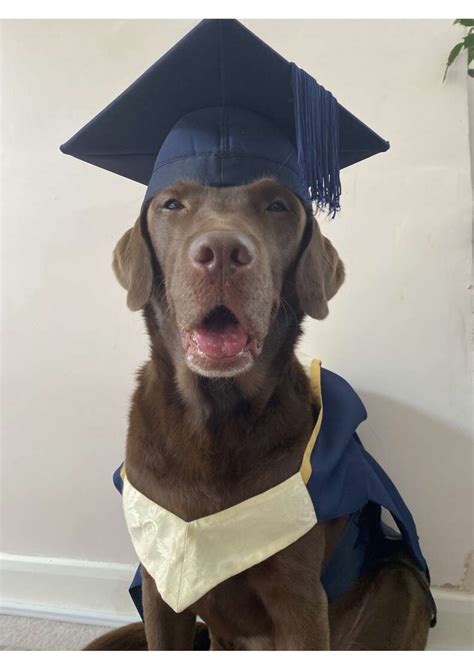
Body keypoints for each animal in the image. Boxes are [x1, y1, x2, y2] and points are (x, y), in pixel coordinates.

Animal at [83, 178, 432, 652]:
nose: (222, 252)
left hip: (399, 583)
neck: (215, 422)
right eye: (172, 204)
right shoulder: (161, 584)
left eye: (278, 206)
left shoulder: (298, 598)